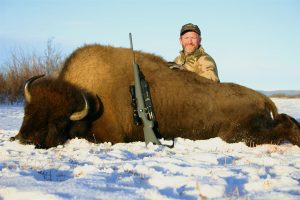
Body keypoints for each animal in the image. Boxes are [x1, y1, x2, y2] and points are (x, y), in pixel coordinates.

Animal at [12, 45, 300, 148]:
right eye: (27, 111)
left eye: (59, 120)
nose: (24, 139)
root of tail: (262, 97)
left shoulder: (110, 135)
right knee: (286, 119)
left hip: (238, 135)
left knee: (282, 126)